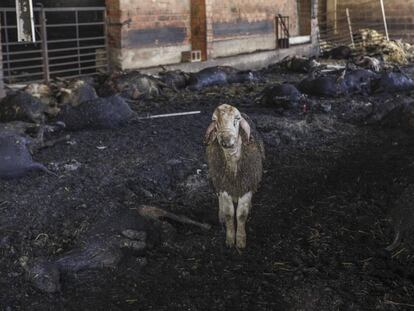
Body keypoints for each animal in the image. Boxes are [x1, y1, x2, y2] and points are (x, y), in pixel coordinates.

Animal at [205, 104, 266, 249]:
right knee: (219, 197)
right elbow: (229, 214)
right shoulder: (224, 187)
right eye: (214, 120)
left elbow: (241, 215)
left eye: (237, 119)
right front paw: (230, 238)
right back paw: (220, 214)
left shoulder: (247, 187)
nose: (226, 140)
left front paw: (241, 239)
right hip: (217, 180)